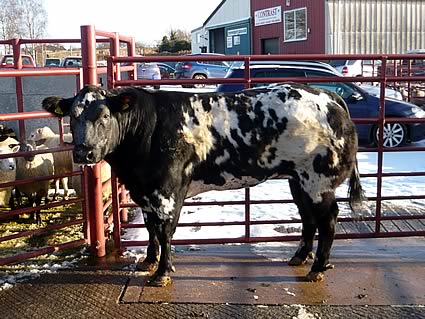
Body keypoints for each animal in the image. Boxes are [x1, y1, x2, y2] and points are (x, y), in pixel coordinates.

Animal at [42, 83, 362, 288]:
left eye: (104, 115)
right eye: (72, 116)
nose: (83, 153)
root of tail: (330, 95)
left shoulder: (167, 191)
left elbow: (165, 231)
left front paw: (162, 273)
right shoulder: (146, 192)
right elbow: (150, 228)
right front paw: (148, 261)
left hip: (318, 180)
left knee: (328, 219)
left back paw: (317, 268)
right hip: (299, 180)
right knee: (309, 218)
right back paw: (299, 257)